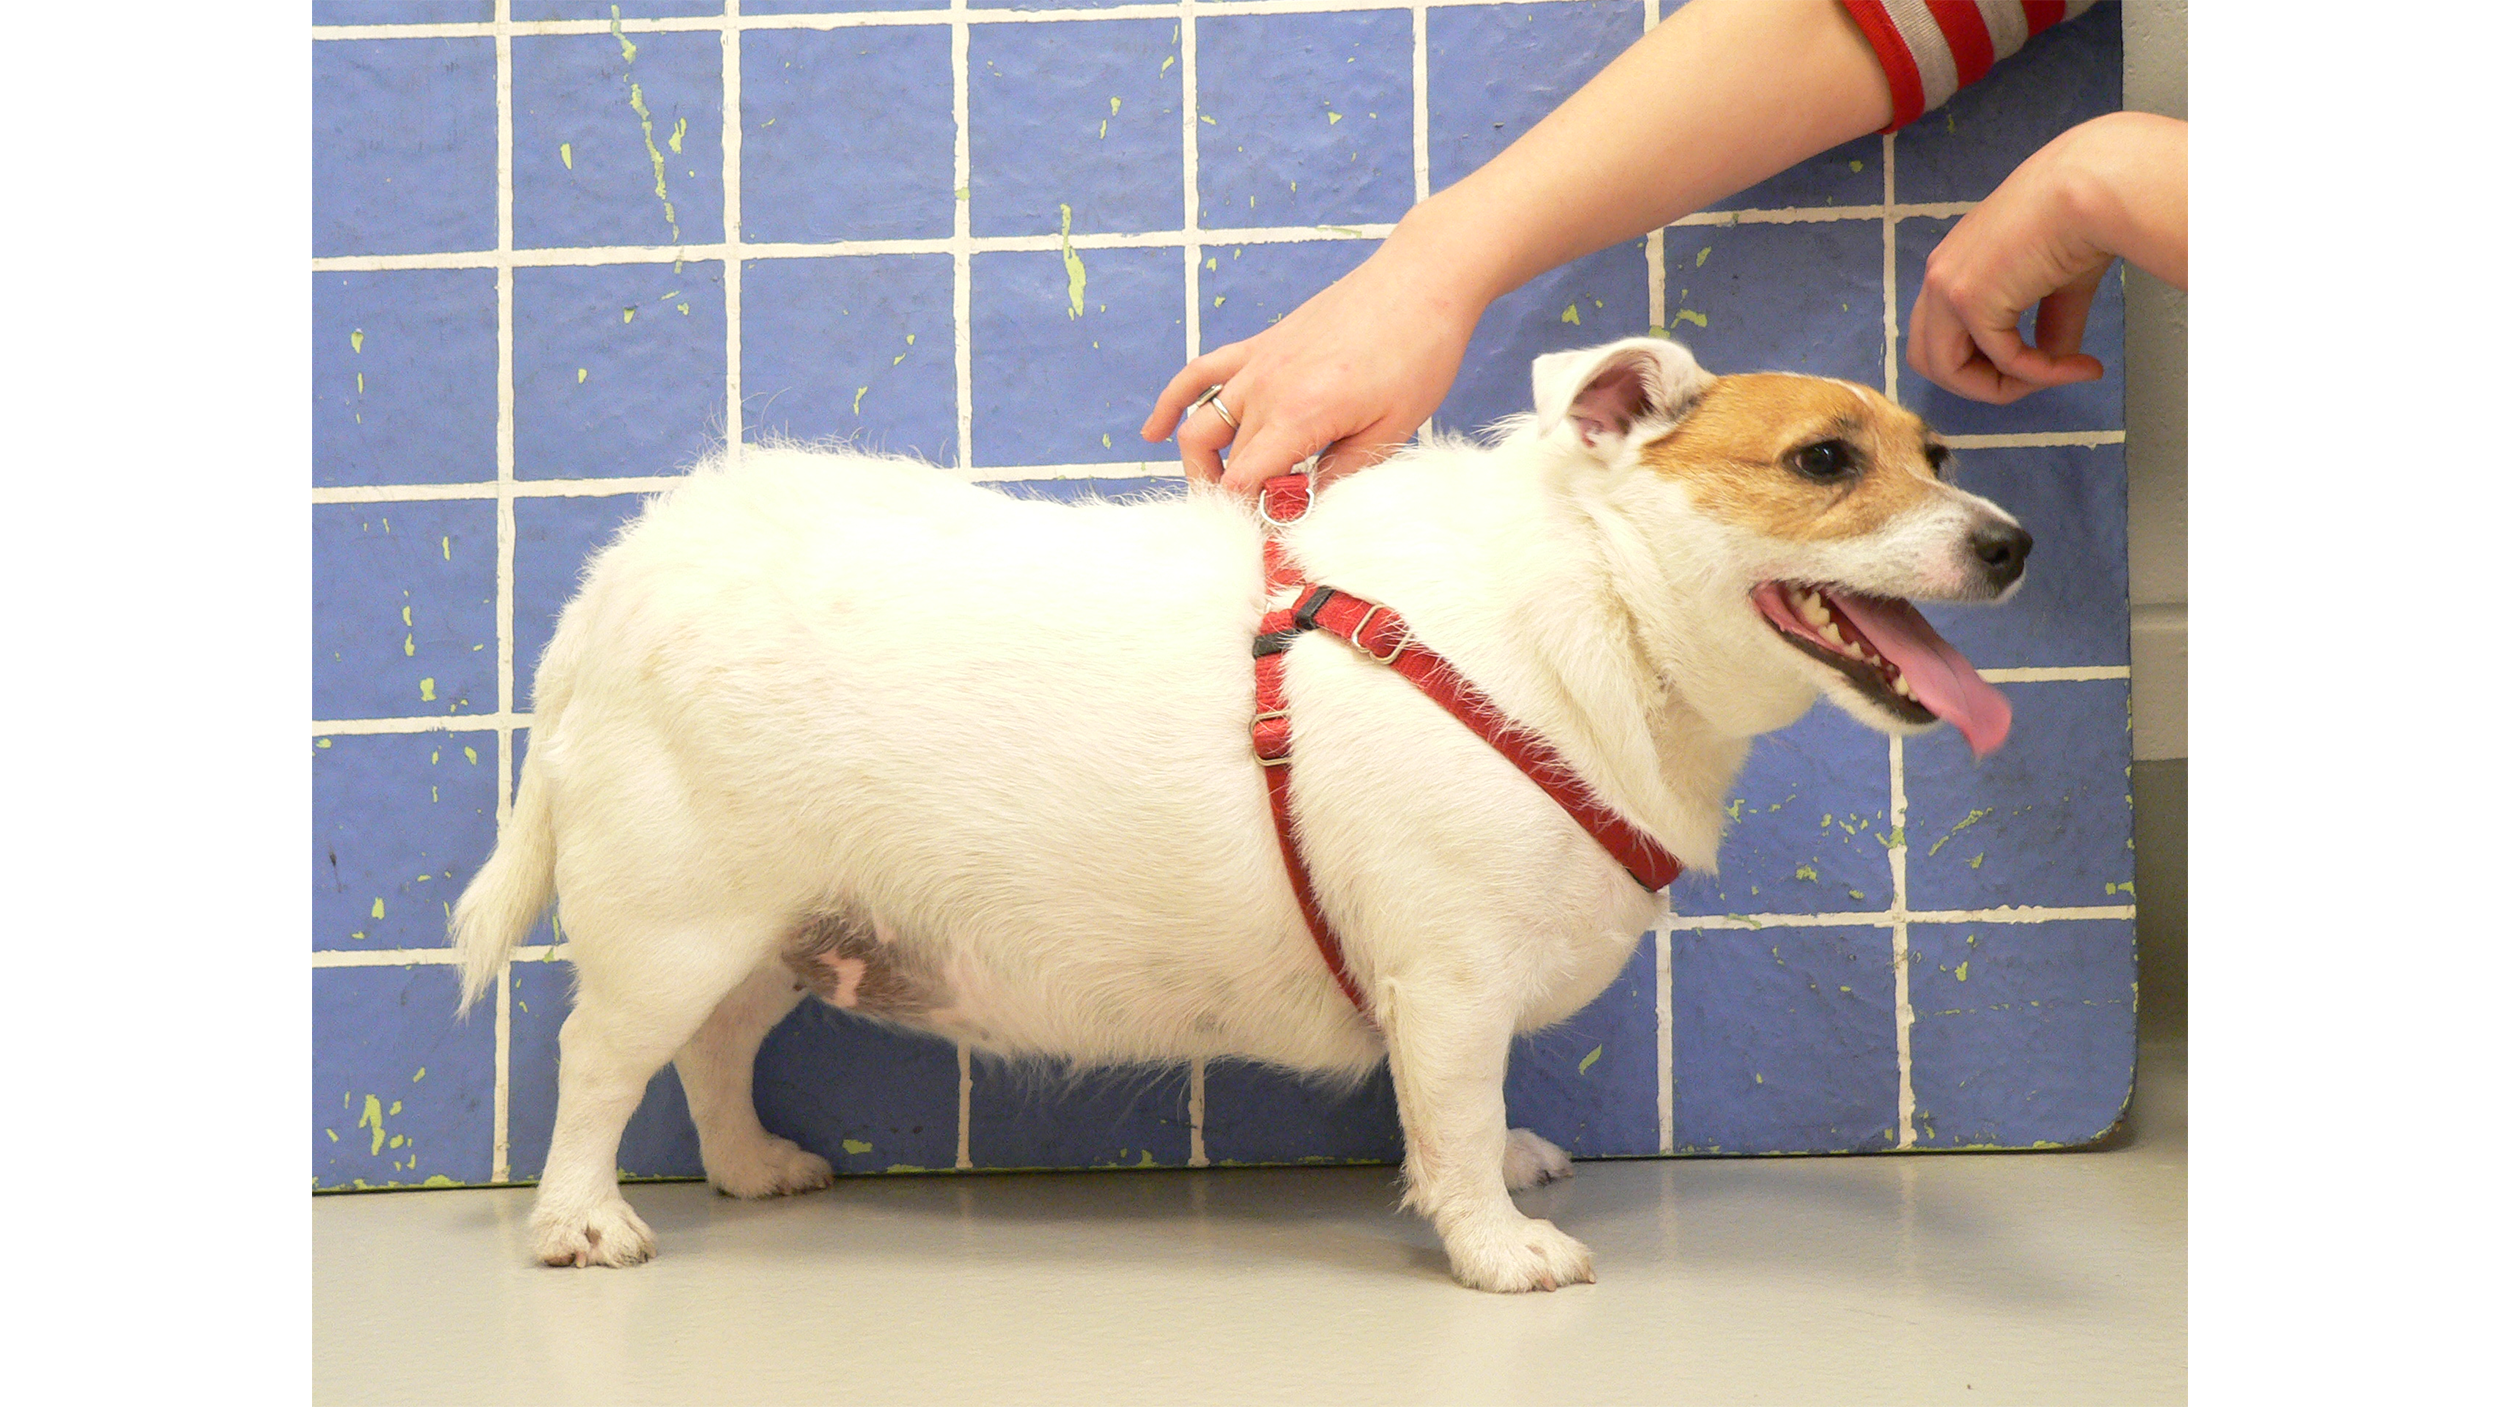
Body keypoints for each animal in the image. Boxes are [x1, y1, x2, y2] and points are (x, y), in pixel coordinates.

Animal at [450, 334, 2030, 1289]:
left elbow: (1455, 1114)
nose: (2013, 543)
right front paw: (1496, 1241)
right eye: (1824, 460)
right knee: (599, 1066)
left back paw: (749, 1166)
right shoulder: (1450, 978)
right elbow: (1454, 1116)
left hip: (770, 935)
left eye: (1939, 452)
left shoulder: (1439, 986)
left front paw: (1495, 1174)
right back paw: (581, 1218)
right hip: (674, 923)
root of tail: (615, 579)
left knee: (712, 1057)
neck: (1595, 608)